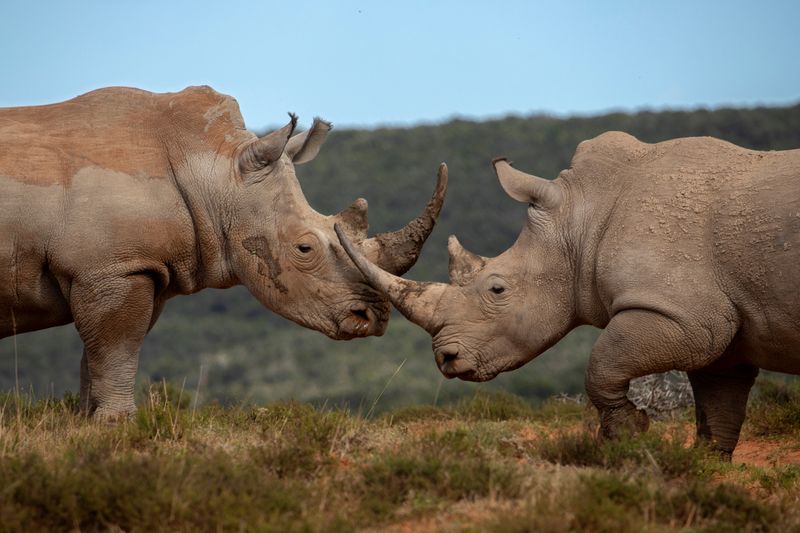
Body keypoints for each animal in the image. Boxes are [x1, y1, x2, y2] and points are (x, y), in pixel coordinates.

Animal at [0, 86, 447, 419]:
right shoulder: (112, 268)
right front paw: (117, 425)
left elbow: (98, 357)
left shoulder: (136, 269)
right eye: (304, 248)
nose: (373, 319)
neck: (215, 172)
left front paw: (88, 423)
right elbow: (116, 349)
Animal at [336, 131, 800, 455]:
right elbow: (718, 415)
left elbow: (602, 366)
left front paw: (628, 435)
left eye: (497, 288)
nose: (447, 360)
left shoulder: (686, 317)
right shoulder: (723, 339)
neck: (583, 218)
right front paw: (699, 472)